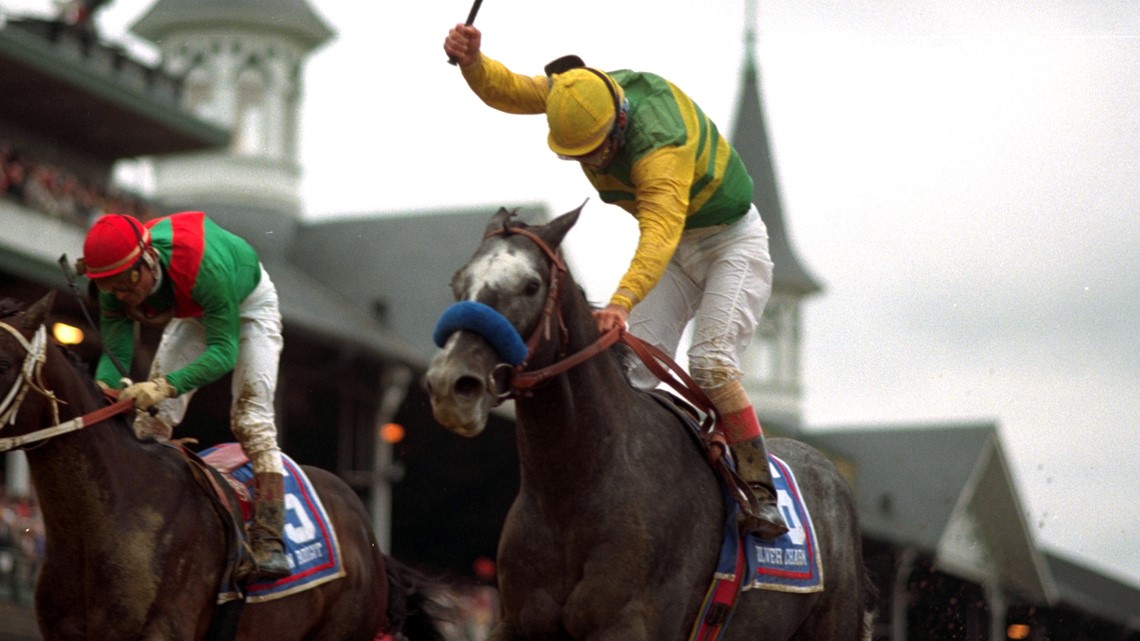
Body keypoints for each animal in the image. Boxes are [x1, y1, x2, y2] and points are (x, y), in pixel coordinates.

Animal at [424, 205, 875, 638]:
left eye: (531, 285)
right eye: (457, 282)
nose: (450, 384)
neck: (573, 490)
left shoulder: (626, 622)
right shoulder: (515, 622)